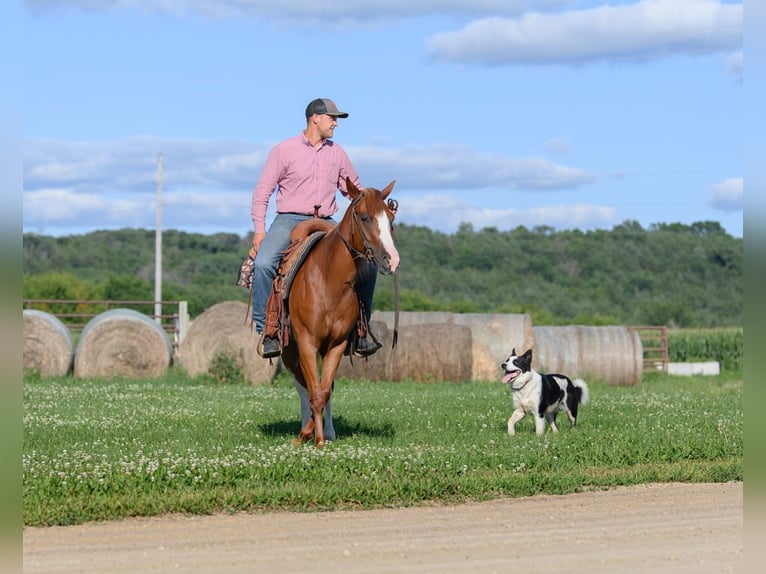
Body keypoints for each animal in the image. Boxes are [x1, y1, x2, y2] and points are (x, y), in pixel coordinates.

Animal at [280, 177, 399, 447]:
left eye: (391, 218)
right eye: (364, 218)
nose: (392, 260)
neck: (328, 281)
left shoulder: (337, 344)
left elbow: (323, 391)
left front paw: (320, 436)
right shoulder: (307, 343)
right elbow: (313, 390)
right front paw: (313, 438)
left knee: (324, 388)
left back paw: (325, 431)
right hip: (288, 351)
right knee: (301, 385)